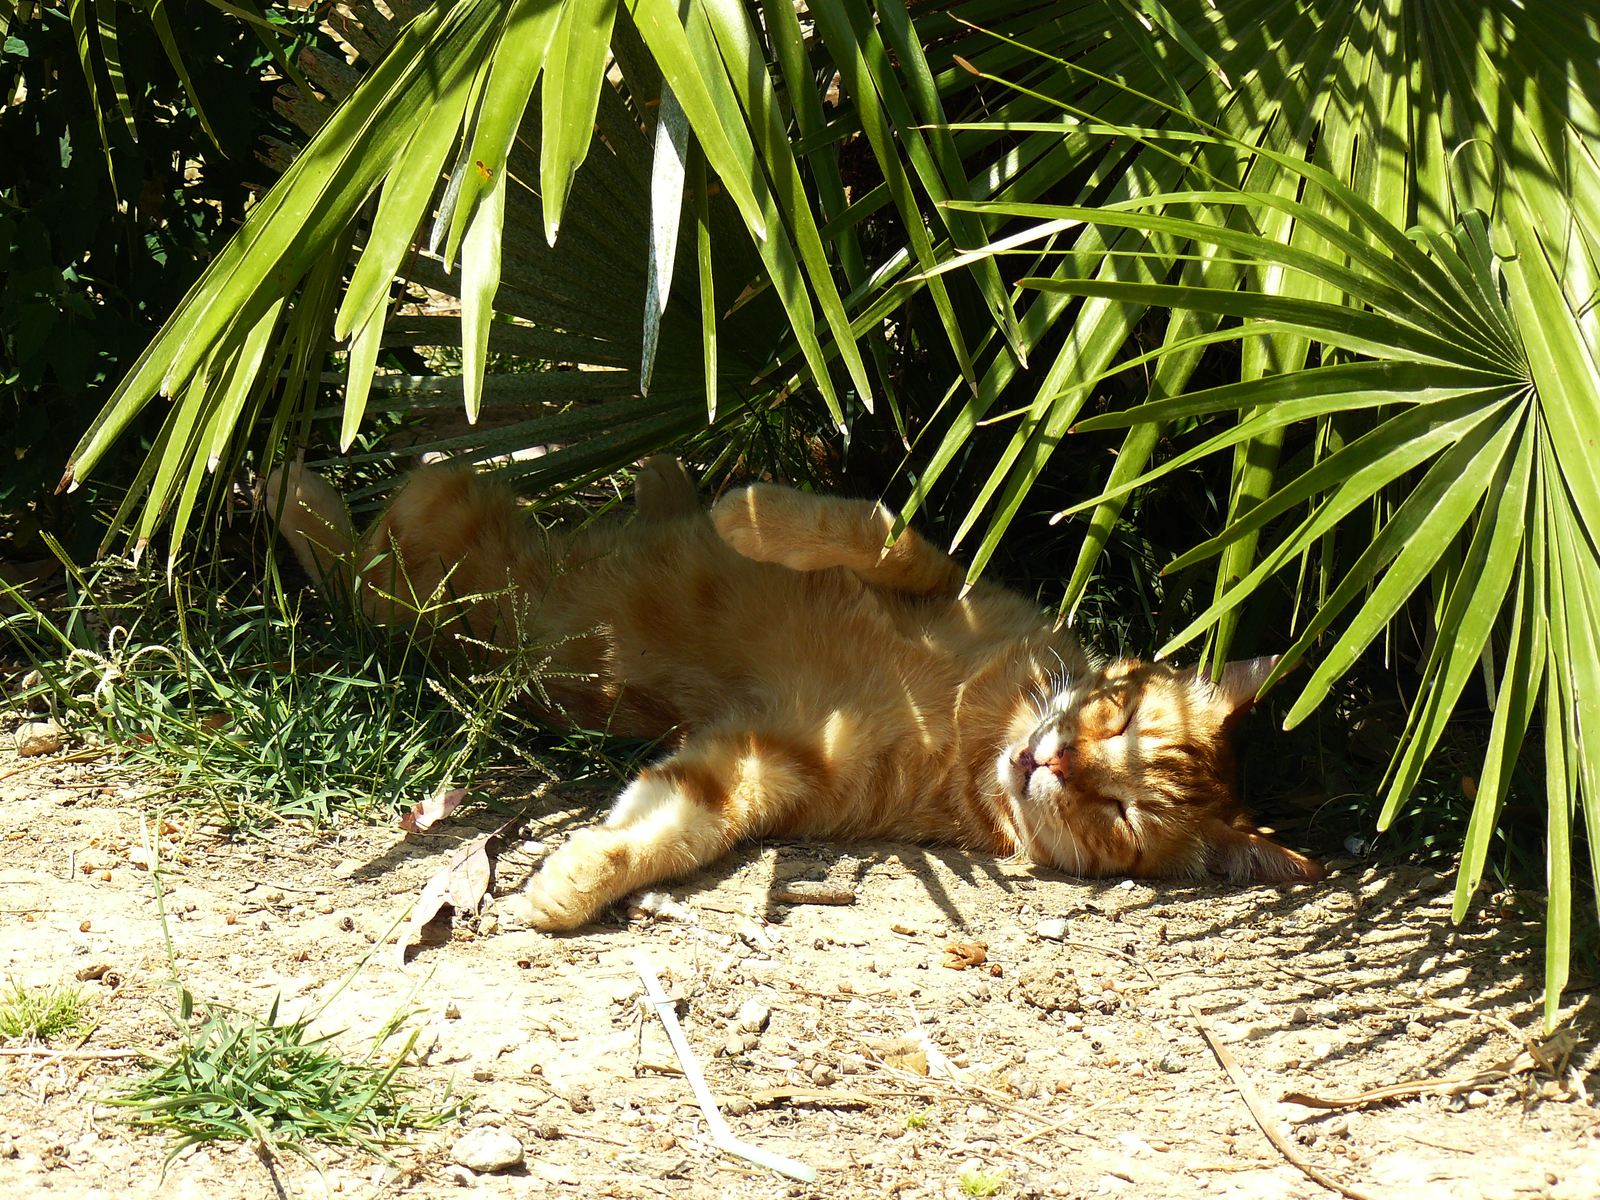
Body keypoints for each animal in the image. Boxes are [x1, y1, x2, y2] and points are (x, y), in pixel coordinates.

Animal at [265, 454, 1324, 934]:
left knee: (352, 573)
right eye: (1121, 717)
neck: (968, 733)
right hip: (444, 501)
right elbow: (885, 533)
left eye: (1122, 812)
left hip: (423, 585)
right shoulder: (947, 584)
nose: (1052, 760)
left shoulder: (760, 764)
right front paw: (746, 515)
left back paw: (292, 494)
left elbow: (670, 828)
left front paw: (574, 882)